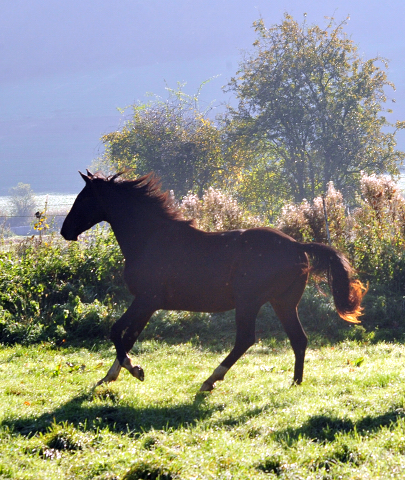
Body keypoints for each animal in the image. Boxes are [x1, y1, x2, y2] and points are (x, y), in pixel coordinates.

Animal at [60, 171, 366, 392]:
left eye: (84, 198)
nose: (65, 231)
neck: (150, 238)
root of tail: (298, 246)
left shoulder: (147, 299)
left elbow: (117, 332)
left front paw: (135, 370)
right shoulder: (147, 304)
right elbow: (128, 336)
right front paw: (110, 377)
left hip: (249, 301)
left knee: (246, 339)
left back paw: (210, 380)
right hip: (283, 303)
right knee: (298, 339)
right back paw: (295, 382)